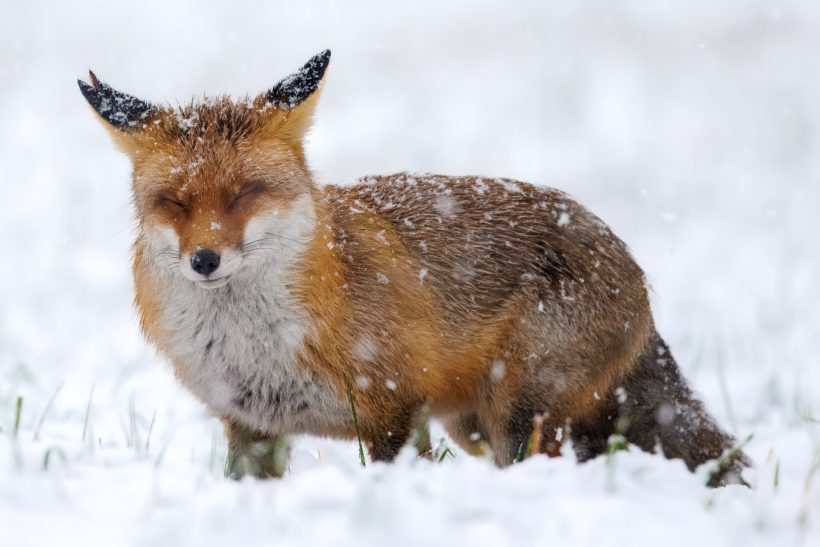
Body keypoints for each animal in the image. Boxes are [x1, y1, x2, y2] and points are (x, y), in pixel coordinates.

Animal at [78, 50, 748, 488]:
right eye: (175, 203)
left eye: (245, 194)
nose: (205, 260)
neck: (260, 345)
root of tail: (632, 263)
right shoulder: (251, 427)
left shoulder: (394, 412)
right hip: (474, 425)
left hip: (516, 414)